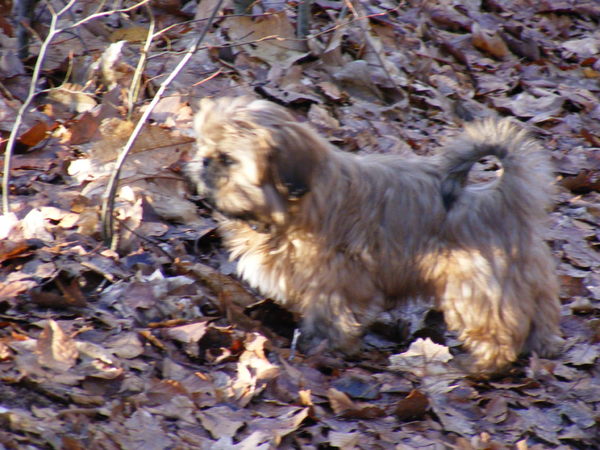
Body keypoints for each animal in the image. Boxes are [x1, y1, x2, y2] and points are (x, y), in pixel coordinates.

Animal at [189, 96, 564, 374]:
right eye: (203, 146)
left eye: (228, 159)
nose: (203, 161)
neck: (297, 204)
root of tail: (501, 199)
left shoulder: (338, 277)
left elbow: (331, 313)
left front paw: (322, 345)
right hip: (526, 278)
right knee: (540, 314)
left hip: (475, 289)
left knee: (497, 331)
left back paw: (479, 364)